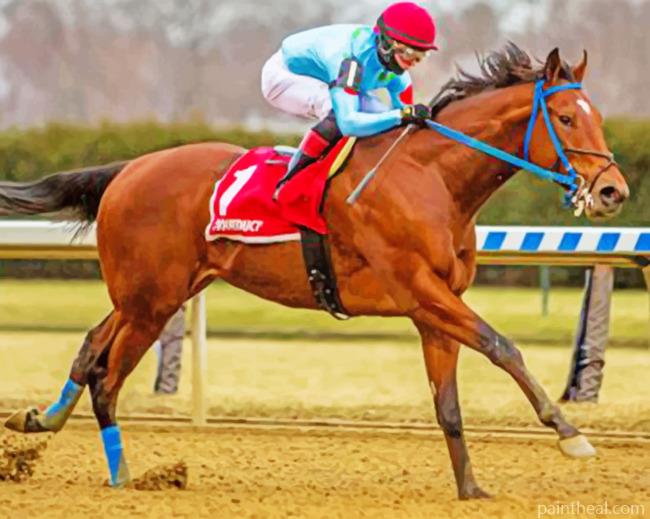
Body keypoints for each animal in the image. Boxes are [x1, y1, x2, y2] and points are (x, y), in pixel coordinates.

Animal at [1, 45, 629, 499]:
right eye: (566, 118)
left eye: (597, 118)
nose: (613, 191)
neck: (434, 179)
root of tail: (129, 169)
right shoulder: (422, 291)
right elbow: (504, 348)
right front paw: (570, 435)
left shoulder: (434, 308)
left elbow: (447, 404)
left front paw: (471, 488)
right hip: (151, 301)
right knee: (107, 376)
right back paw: (122, 475)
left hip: (152, 293)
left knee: (90, 347)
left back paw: (39, 421)